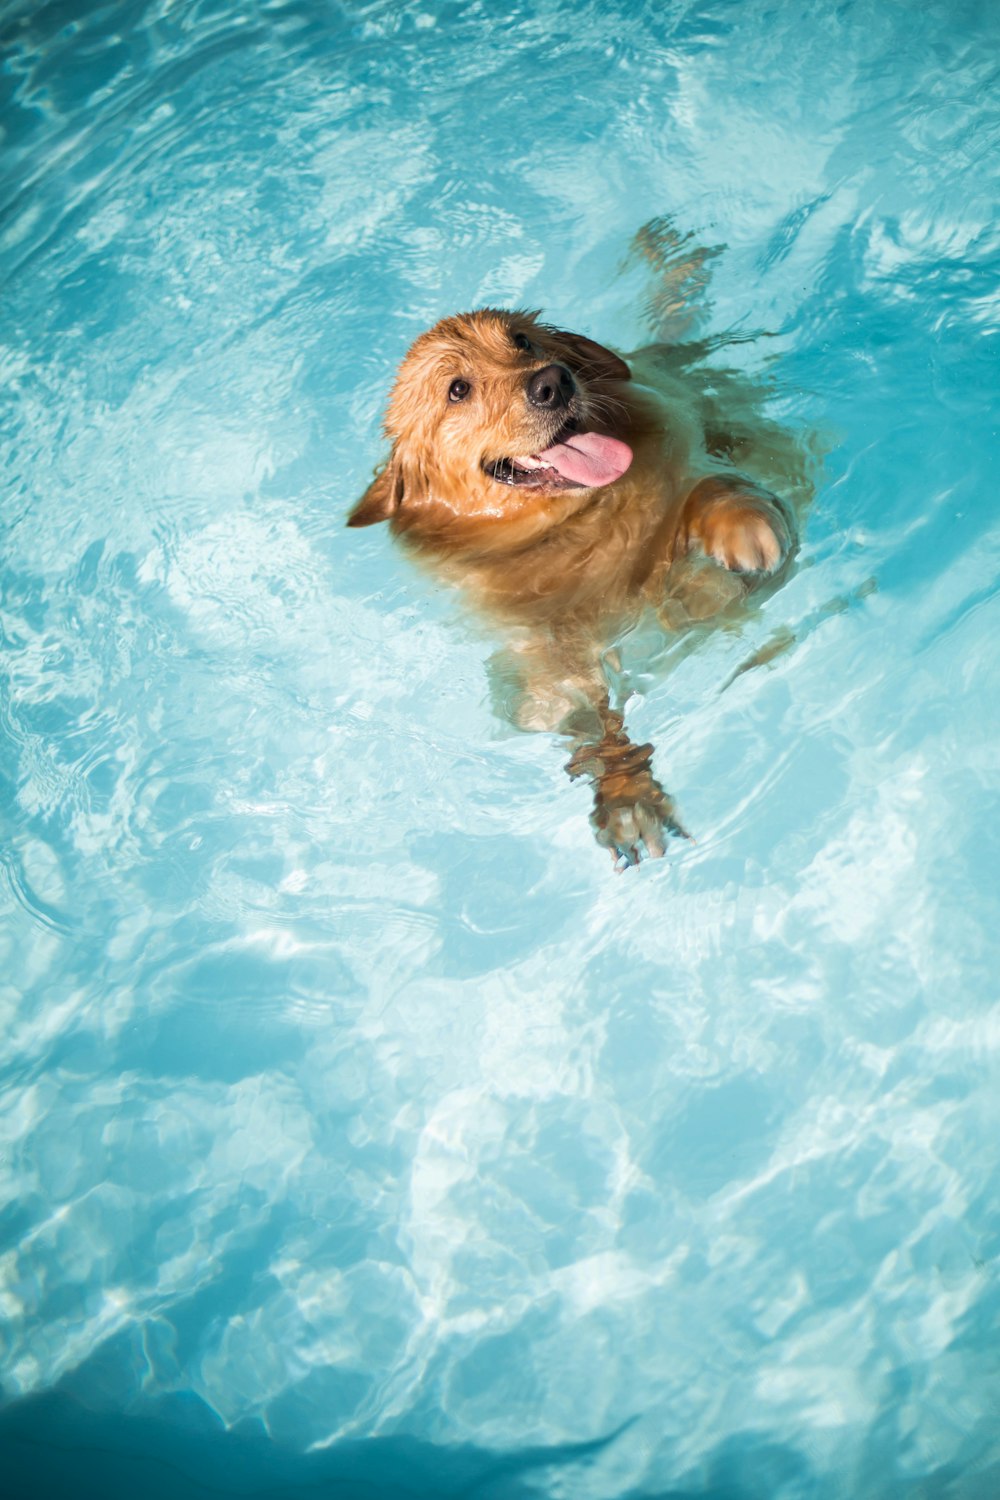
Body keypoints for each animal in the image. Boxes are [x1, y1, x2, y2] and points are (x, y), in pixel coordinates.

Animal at [347, 306, 809, 870]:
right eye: (457, 389)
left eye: (522, 341)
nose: (553, 381)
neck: (572, 522)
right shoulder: (545, 667)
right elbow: (589, 723)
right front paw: (626, 793)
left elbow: (703, 485)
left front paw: (738, 521)